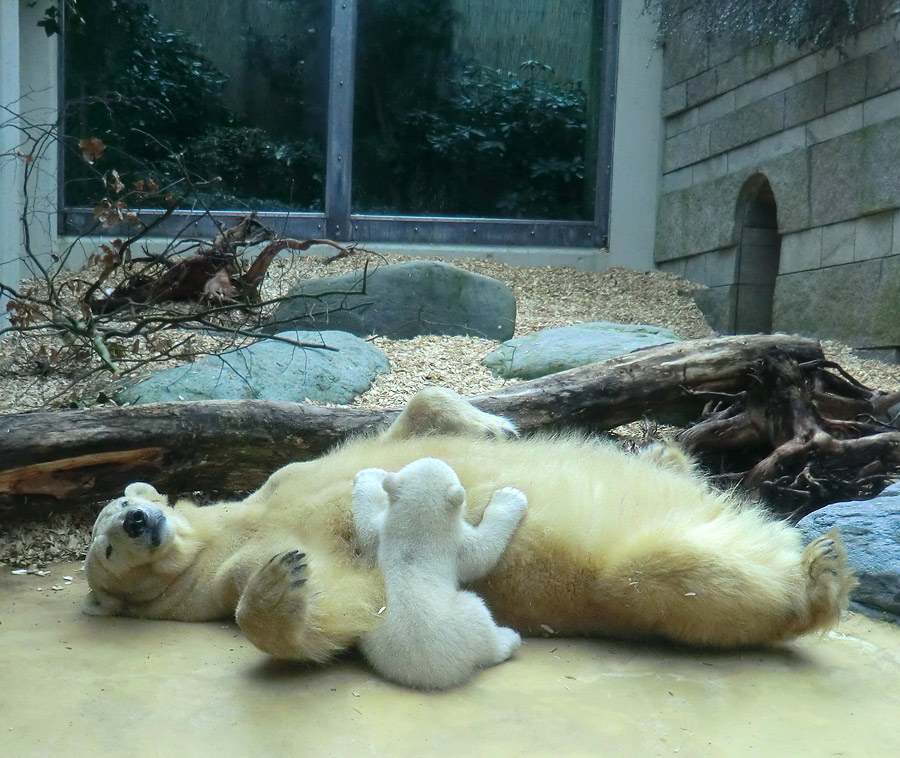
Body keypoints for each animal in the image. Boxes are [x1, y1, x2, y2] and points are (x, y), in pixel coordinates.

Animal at [81, 388, 856, 668]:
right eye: (108, 547)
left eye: (119, 509)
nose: (139, 518)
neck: (219, 534)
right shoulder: (221, 577)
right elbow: (334, 603)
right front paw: (282, 583)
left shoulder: (279, 479)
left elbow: (395, 426)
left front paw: (492, 423)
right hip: (637, 579)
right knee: (660, 577)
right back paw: (820, 576)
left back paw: (670, 454)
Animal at [354, 460, 528, 692]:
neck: (415, 533)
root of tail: (429, 676)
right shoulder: (455, 545)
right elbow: (482, 552)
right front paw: (510, 496)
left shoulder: (381, 535)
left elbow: (366, 523)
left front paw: (369, 474)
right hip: (463, 621)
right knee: (480, 622)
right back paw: (508, 638)